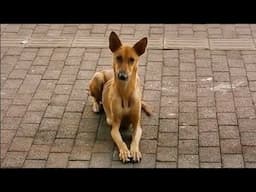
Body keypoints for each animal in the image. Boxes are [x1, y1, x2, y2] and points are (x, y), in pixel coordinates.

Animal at [88, 31, 151, 164]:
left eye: (132, 59)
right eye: (118, 57)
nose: (122, 76)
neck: (125, 92)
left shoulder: (137, 125)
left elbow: (135, 139)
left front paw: (134, 150)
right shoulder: (115, 126)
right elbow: (120, 140)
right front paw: (124, 151)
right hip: (97, 77)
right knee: (95, 97)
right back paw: (96, 105)